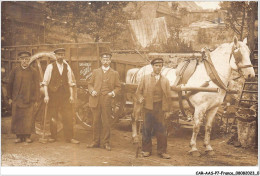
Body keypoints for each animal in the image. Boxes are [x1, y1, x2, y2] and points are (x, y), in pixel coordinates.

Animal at [127, 36, 255, 155]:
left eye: (249, 52)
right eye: (238, 53)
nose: (251, 75)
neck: (210, 77)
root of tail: (139, 70)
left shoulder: (213, 108)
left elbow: (208, 127)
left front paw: (208, 147)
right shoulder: (200, 107)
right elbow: (197, 126)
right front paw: (193, 148)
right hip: (139, 100)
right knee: (135, 117)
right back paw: (135, 138)